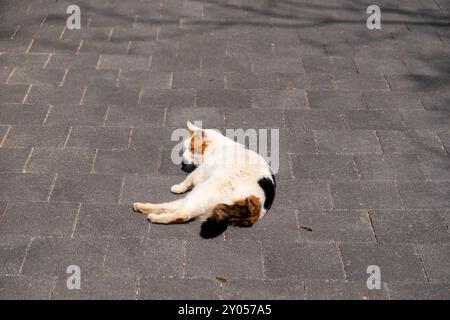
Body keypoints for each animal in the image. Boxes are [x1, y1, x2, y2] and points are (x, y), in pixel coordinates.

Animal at [132, 121, 276, 239]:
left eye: (191, 149)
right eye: (185, 149)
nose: (183, 160)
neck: (219, 145)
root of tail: (257, 205)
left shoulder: (202, 170)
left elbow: (189, 178)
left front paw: (179, 187)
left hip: (204, 190)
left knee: (183, 213)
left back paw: (153, 216)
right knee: (172, 206)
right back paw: (142, 207)